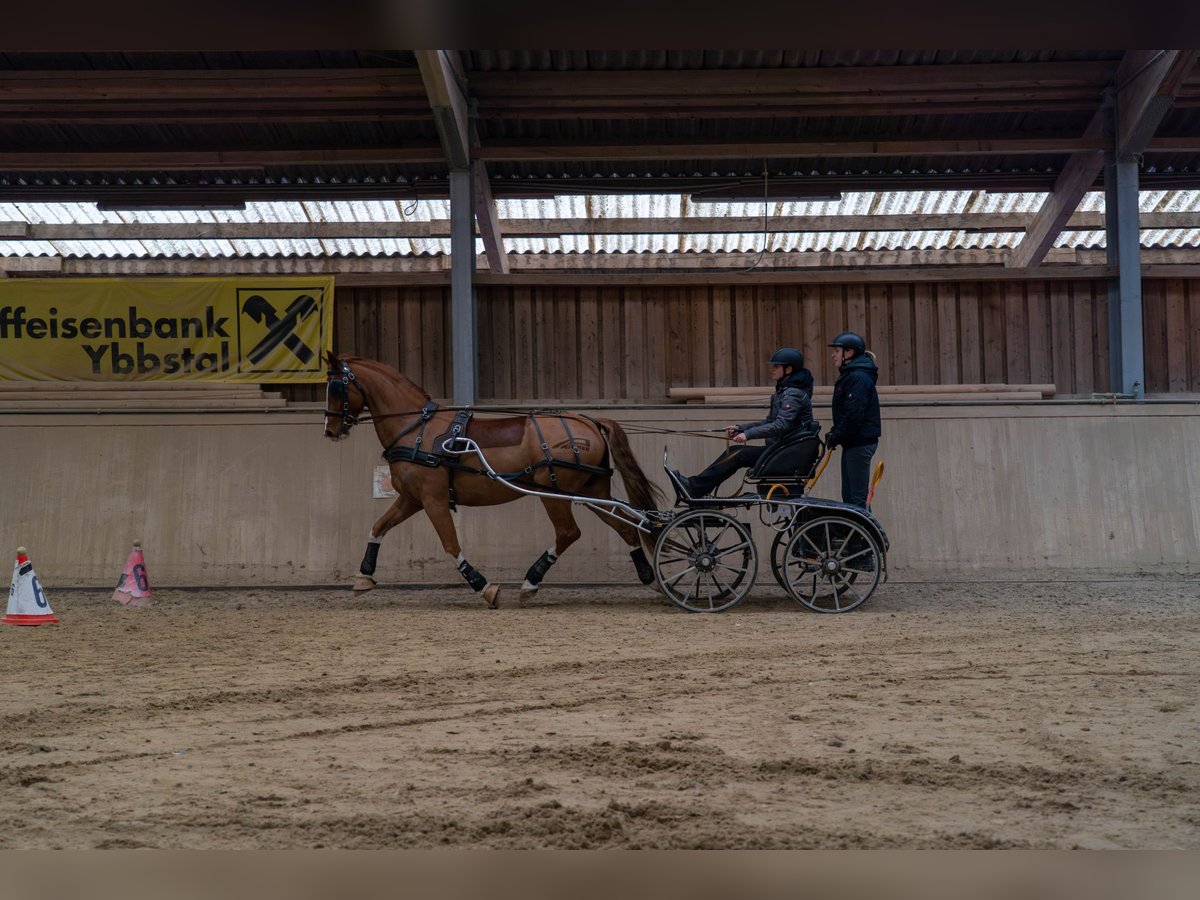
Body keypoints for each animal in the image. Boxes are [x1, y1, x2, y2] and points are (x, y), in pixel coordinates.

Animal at [321, 352, 667, 607]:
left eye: (336, 387)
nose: (330, 430)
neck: (417, 429)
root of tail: (589, 420)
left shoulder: (433, 501)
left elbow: (450, 544)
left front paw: (484, 587)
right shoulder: (411, 499)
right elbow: (378, 526)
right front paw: (364, 576)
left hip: (554, 493)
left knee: (569, 532)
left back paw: (531, 582)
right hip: (591, 492)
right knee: (627, 528)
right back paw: (650, 578)